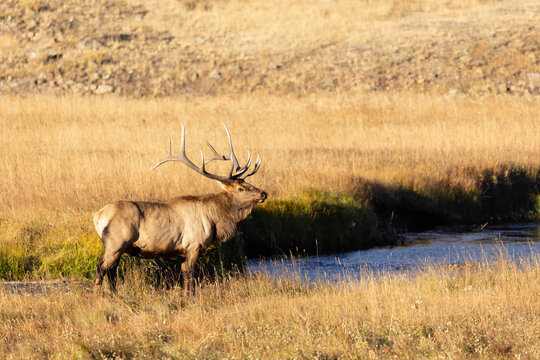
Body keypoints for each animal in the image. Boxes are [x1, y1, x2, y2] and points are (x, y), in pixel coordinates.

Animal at [96, 124, 268, 296]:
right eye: (240, 188)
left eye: (248, 183)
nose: (263, 193)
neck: (216, 219)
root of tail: (98, 216)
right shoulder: (194, 245)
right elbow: (190, 274)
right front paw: (192, 297)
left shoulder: (184, 250)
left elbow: (184, 274)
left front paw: (185, 296)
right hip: (115, 243)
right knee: (101, 268)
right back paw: (99, 295)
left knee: (112, 271)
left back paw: (114, 294)